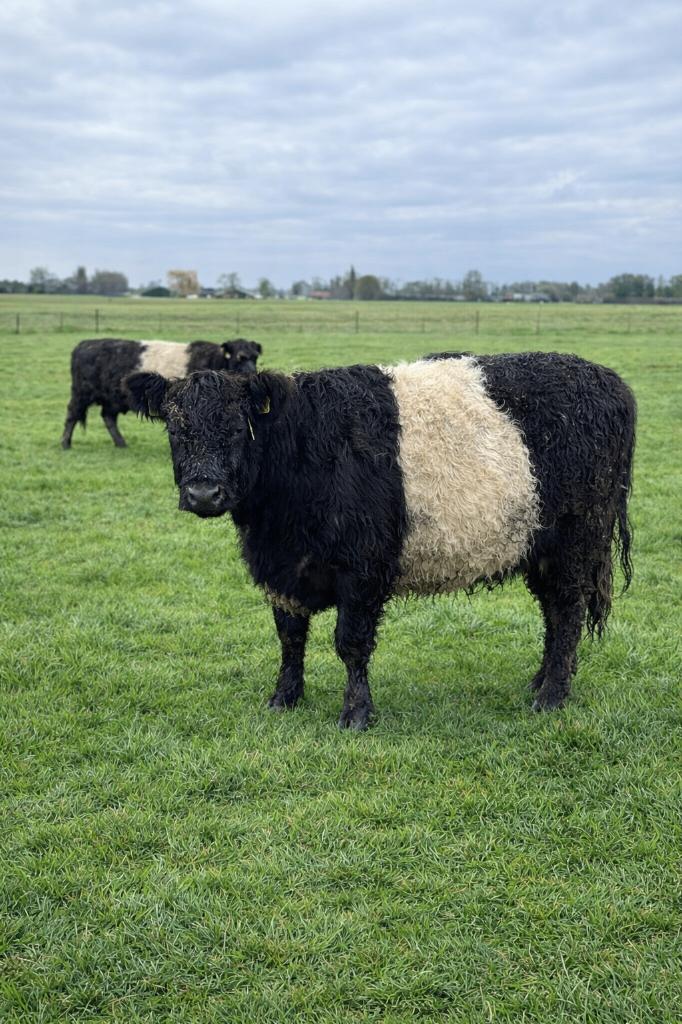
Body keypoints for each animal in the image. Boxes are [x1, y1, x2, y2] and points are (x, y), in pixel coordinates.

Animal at [61, 337, 261, 448]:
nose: (252, 373)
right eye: (240, 357)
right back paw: (65, 443)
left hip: (112, 399)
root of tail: (84, 344)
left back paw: (121, 443)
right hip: (81, 393)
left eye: (254, 357)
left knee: (108, 417)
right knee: (72, 415)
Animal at [124, 352, 636, 729]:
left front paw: (355, 714)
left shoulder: (363, 569)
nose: (203, 493)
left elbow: (350, 643)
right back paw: (541, 679)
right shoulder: (280, 568)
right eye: (176, 430)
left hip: (576, 541)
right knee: (552, 613)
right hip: (538, 547)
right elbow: (290, 637)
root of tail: (607, 378)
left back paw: (552, 696)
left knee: (567, 613)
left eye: (236, 429)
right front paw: (284, 697)